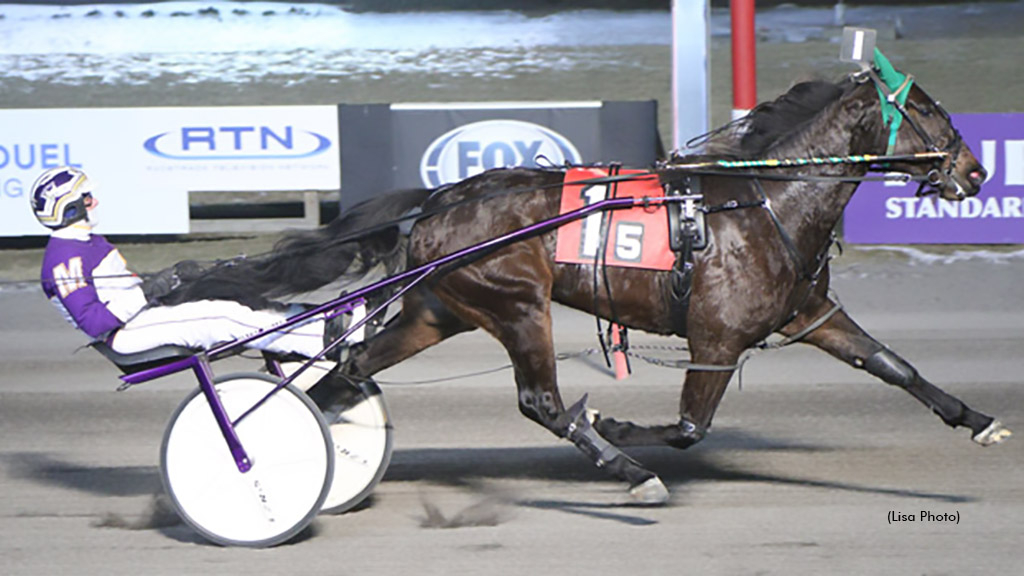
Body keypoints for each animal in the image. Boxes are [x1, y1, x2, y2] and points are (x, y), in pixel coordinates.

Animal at [163, 59, 1011, 502]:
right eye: (930, 112)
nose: (976, 171)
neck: (763, 201)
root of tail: (439, 198)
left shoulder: (808, 312)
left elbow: (894, 366)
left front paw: (977, 420)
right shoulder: (718, 335)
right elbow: (689, 426)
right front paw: (615, 427)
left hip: (437, 309)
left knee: (345, 371)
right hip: (515, 303)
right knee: (539, 401)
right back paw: (627, 470)